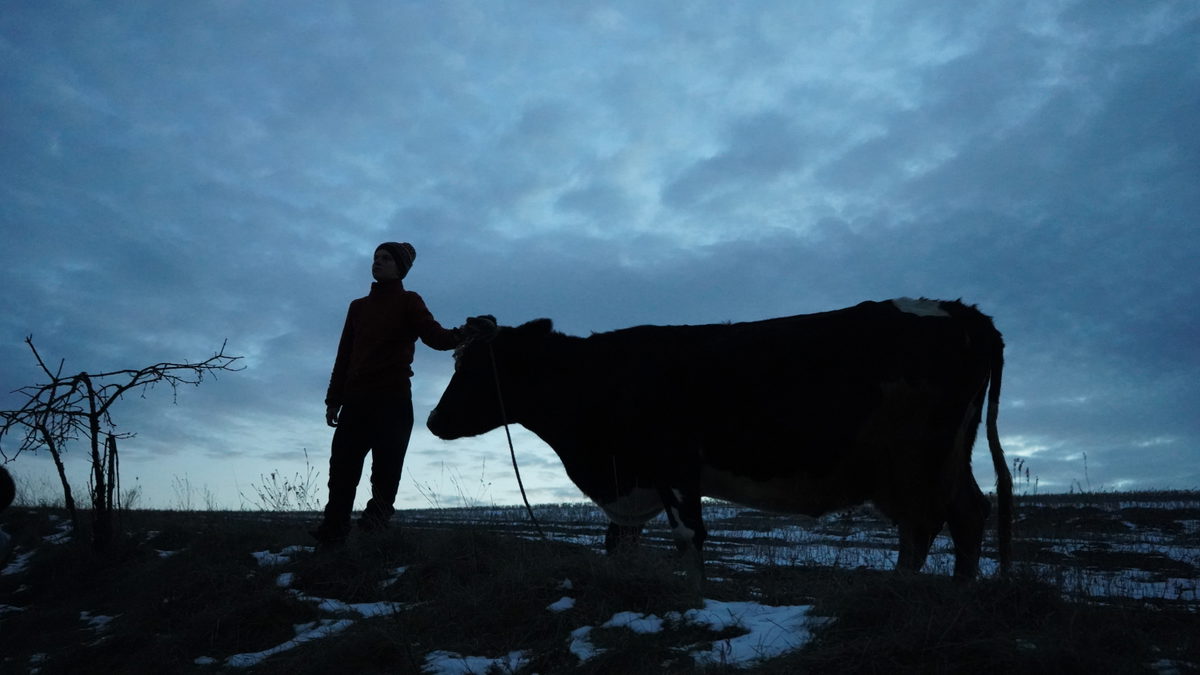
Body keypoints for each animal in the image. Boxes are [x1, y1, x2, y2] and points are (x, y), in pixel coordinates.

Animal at [427, 298, 1012, 580]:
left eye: (474, 368)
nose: (433, 421)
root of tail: (965, 312)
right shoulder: (633, 481)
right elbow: (620, 543)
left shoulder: (674, 466)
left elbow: (690, 540)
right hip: (947, 458)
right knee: (965, 516)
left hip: (916, 460)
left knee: (925, 526)